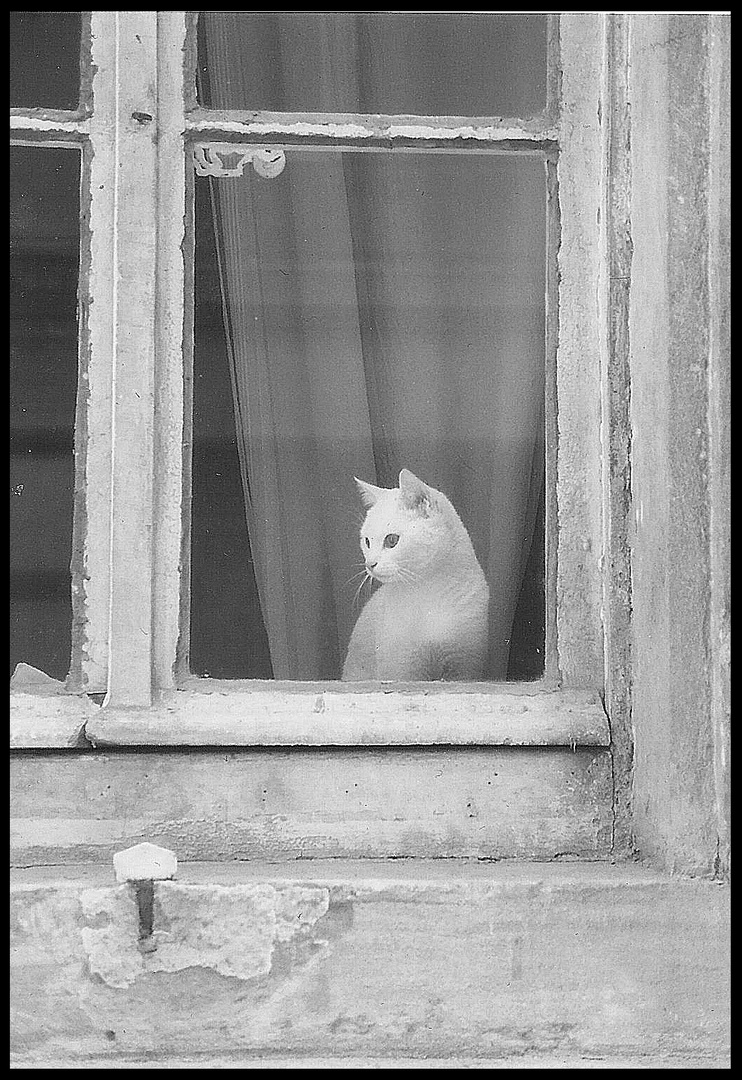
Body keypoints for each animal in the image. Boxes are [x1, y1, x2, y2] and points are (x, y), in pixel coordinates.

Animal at [341, 466, 490, 682]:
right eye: (367, 541)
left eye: (391, 540)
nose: (370, 564)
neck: (427, 590)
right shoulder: (403, 669)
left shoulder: (463, 664)